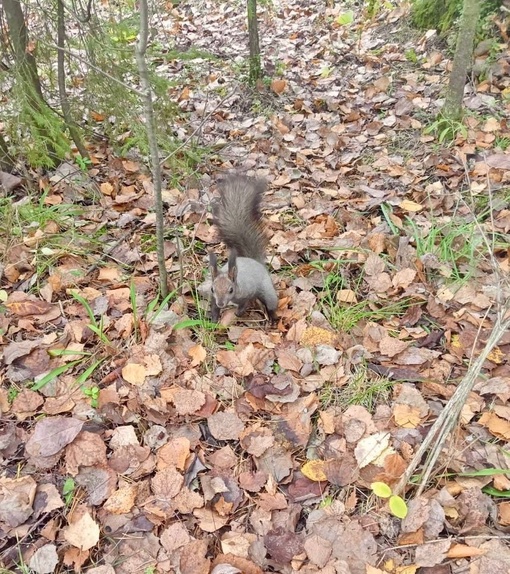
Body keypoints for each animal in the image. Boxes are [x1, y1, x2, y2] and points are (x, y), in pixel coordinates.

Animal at [208, 173, 278, 326]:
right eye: (212, 289)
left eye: (231, 290)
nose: (221, 303)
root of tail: (256, 262)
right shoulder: (213, 298)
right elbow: (213, 306)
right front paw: (213, 318)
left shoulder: (247, 292)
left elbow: (245, 302)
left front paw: (239, 312)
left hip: (267, 291)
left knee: (270, 302)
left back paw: (273, 317)